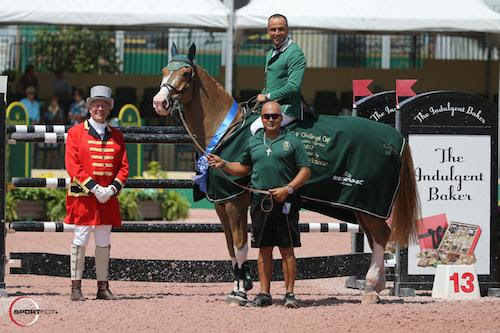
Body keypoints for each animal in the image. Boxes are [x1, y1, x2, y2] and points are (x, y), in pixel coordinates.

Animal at [153, 43, 422, 304]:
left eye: (186, 73)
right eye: (165, 70)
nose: (159, 102)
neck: (227, 130)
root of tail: (395, 138)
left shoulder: (235, 203)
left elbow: (240, 247)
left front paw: (241, 293)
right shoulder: (222, 204)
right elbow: (230, 248)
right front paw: (237, 288)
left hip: (369, 204)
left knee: (381, 235)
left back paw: (371, 288)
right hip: (360, 207)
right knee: (376, 237)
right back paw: (375, 287)